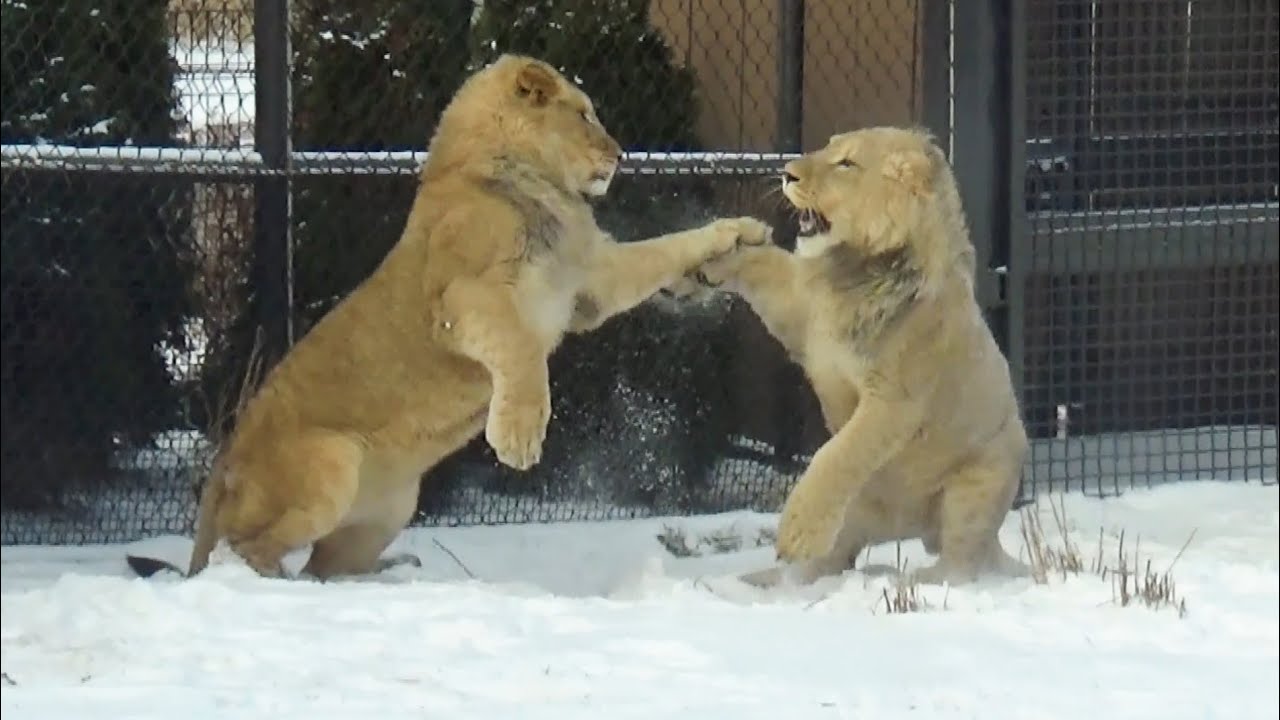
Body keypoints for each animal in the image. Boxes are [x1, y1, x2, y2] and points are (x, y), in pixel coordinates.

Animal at [125, 54, 770, 581]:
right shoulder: (466, 298)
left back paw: (389, 574)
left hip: (388, 510)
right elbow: (522, 352)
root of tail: (222, 466)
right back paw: (269, 583)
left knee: (325, 567)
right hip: (330, 465)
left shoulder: (589, 280)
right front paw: (517, 438)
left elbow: (666, 248)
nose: (620, 154)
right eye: (584, 114)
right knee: (248, 550)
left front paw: (738, 234)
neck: (536, 187)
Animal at [682, 126, 1029, 587]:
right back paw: (757, 583)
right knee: (829, 563)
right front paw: (710, 257)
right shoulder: (803, 315)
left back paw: (911, 581)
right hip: (855, 521)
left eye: (845, 163)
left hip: (978, 486)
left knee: (960, 566)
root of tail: (906, 528)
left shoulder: (894, 402)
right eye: (828, 146)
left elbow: (836, 455)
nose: (787, 173)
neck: (853, 274)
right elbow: (761, 261)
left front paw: (796, 530)